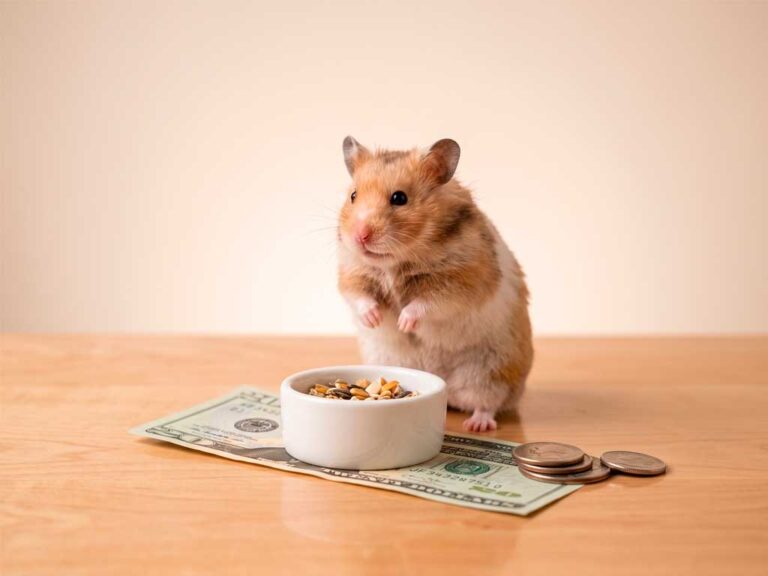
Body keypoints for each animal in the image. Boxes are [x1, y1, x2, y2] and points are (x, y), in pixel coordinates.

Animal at [336, 136, 533, 432]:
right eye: (353, 196)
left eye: (399, 198)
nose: (360, 236)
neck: (395, 261)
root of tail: (449, 392)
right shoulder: (352, 271)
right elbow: (360, 296)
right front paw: (374, 319)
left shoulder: (461, 280)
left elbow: (427, 303)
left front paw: (404, 323)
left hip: (490, 372)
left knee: (487, 403)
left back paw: (476, 425)